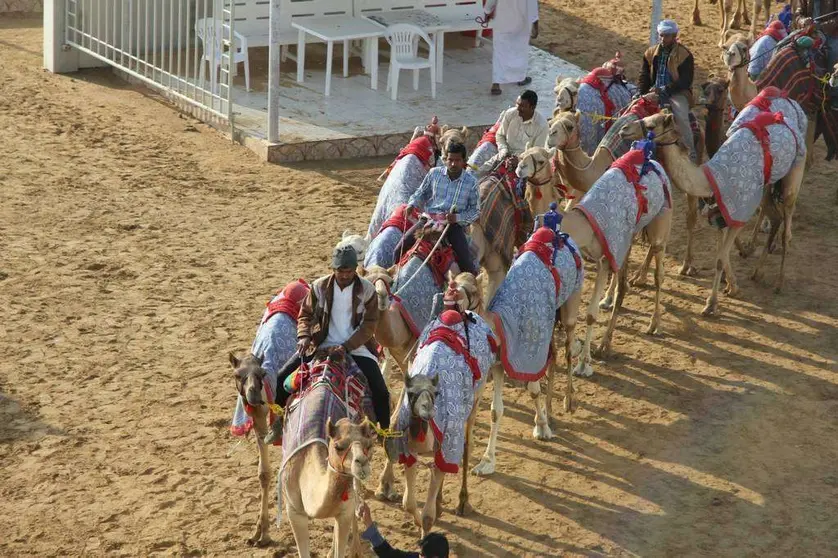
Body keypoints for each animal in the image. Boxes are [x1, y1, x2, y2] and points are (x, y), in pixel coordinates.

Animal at [624, 111, 808, 318]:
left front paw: (711, 304)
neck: (709, 180)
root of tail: (787, 120)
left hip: (795, 172)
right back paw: (757, 273)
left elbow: (720, 258)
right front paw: (732, 287)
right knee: (775, 218)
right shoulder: (720, 216)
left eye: (651, 126)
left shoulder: (738, 215)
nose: (624, 129)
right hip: (766, 187)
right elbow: (721, 256)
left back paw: (779, 282)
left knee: (787, 228)